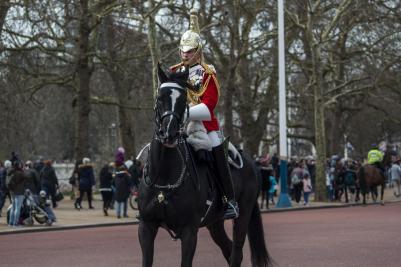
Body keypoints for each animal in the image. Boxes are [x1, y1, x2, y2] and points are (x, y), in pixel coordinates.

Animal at [138, 65, 272, 267]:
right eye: (159, 97)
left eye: (183, 100)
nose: (168, 133)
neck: (165, 176)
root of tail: (252, 162)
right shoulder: (146, 227)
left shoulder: (189, 230)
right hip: (214, 222)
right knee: (229, 250)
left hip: (242, 215)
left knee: (236, 251)